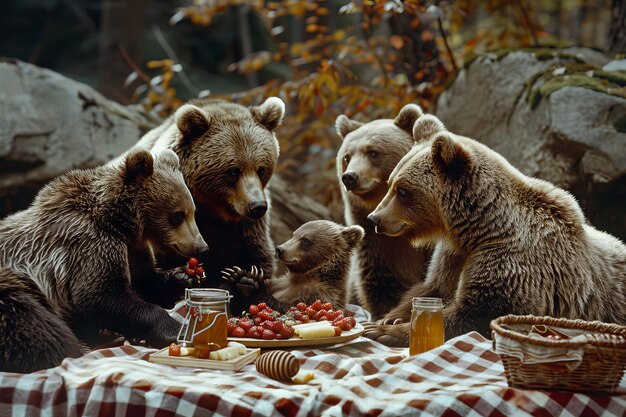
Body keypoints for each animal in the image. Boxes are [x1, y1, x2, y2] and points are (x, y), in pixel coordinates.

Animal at [0, 148, 208, 372]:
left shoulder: (133, 249)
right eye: (177, 215)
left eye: (193, 212)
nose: (202, 246)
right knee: (36, 326)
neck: (120, 223)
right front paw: (173, 328)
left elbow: (145, 279)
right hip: (15, 290)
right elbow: (101, 296)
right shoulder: (89, 243)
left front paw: (184, 276)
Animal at [113, 96, 284, 312]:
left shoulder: (246, 229)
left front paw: (245, 279)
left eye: (261, 169)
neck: (211, 209)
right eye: (233, 171)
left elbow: (258, 260)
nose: (257, 206)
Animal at [222, 219, 364, 310]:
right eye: (294, 234)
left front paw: (248, 282)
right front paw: (239, 276)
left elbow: (285, 307)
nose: (279, 249)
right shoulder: (279, 283)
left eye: (306, 240)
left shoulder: (319, 296)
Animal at [360, 114, 624, 344]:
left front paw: (382, 330)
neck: (478, 228)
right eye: (391, 183)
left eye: (403, 191)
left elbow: (478, 313)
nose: (375, 219)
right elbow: (433, 287)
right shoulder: (454, 255)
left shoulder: (512, 260)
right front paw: (390, 318)